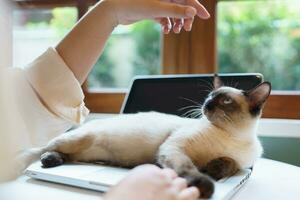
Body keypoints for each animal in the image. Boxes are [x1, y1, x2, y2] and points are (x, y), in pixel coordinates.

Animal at [22, 75, 270, 198]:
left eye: (225, 101)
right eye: (209, 96)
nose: (206, 105)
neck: (232, 136)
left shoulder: (240, 163)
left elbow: (229, 163)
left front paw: (214, 169)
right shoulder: (174, 148)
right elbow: (189, 167)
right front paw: (205, 184)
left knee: (66, 156)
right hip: (75, 139)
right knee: (42, 150)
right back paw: (46, 160)